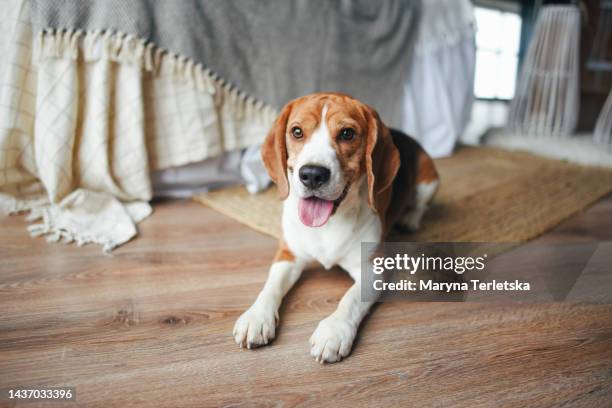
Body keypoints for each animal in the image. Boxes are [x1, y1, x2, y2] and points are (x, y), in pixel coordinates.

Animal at [232, 93, 438, 364]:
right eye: (297, 131)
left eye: (347, 133)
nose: (312, 174)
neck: (328, 223)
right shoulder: (288, 255)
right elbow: (271, 286)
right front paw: (256, 316)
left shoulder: (373, 269)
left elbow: (350, 299)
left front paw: (334, 331)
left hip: (429, 181)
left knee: (421, 205)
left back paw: (410, 219)